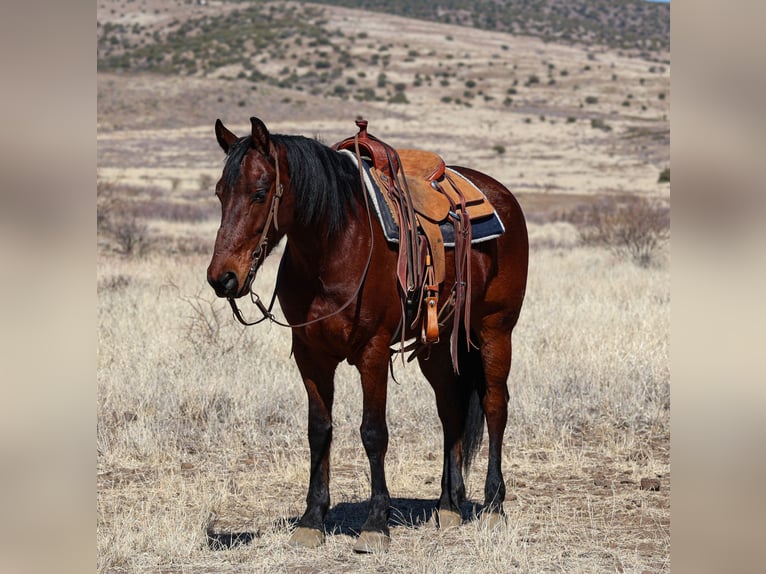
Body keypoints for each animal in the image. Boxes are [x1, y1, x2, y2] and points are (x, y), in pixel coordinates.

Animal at [206, 117, 528, 552]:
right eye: (220, 193)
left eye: (259, 193)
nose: (222, 278)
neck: (334, 246)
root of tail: (502, 195)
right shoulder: (310, 355)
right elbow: (319, 431)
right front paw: (312, 519)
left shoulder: (372, 353)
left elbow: (373, 433)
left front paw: (376, 524)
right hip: (437, 349)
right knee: (451, 411)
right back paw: (449, 505)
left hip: (496, 330)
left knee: (495, 405)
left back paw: (494, 504)